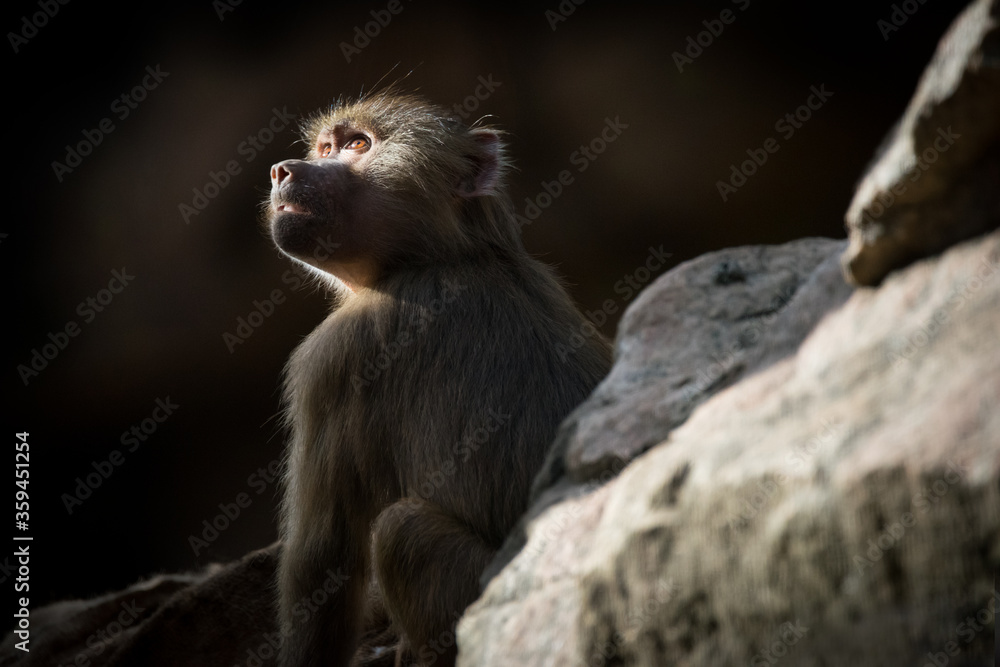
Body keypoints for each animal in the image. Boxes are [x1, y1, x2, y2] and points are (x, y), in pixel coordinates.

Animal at [267, 90, 612, 667]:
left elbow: (323, 560)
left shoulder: (337, 356)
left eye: (358, 145)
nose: (281, 171)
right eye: (326, 147)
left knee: (403, 533)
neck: (453, 254)